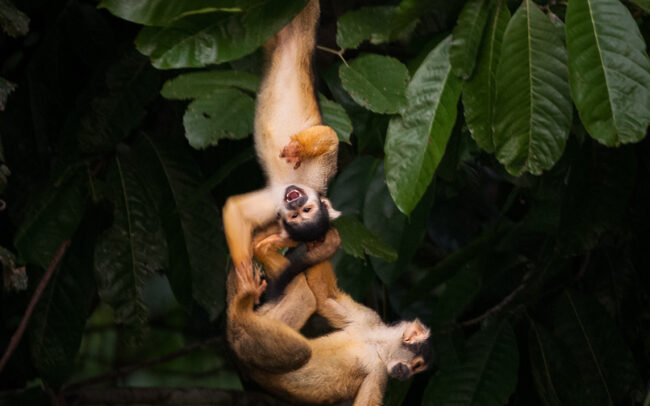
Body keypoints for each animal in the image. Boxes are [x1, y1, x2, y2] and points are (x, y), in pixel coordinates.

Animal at [222, 0, 340, 275]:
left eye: (302, 215)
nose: (295, 201)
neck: (299, 183)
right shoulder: (319, 175)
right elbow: (332, 139)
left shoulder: (276, 205)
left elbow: (235, 210)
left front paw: (247, 268)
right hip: (305, 22)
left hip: (280, 34)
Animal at [226, 230, 432, 405]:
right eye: (416, 365)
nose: (406, 374)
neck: (378, 345)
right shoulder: (368, 319)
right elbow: (325, 295)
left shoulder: (380, 374)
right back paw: (245, 297)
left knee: (303, 310)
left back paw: (242, 304)